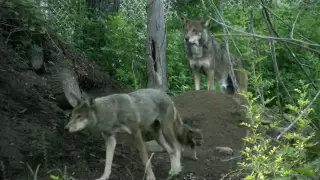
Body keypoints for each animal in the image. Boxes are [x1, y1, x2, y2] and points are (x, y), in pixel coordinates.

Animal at [64, 88, 202, 180]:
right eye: (72, 115)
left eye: (79, 116)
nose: (66, 128)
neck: (113, 112)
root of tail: (167, 96)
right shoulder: (110, 139)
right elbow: (108, 162)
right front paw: (104, 177)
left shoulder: (136, 134)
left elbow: (145, 160)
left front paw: (151, 177)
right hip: (157, 136)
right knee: (171, 150)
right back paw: (173, 170)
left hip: (166, 130)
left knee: (178, 147)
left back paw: (176, 171)